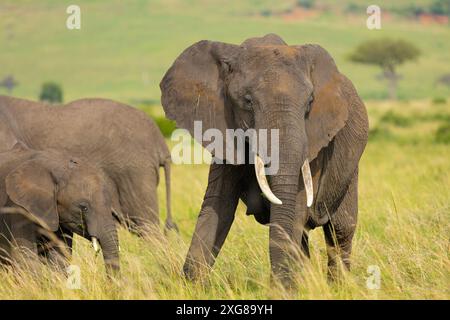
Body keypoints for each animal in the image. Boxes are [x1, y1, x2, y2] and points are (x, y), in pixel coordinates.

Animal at [160, 33, 368, 284]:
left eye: (310, 102)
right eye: (248, 101)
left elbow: (295, 209)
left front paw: (283, 288)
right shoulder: (225, 131)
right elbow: (218, 204)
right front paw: (192, 285)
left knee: (340, 228)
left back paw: (338, 285)